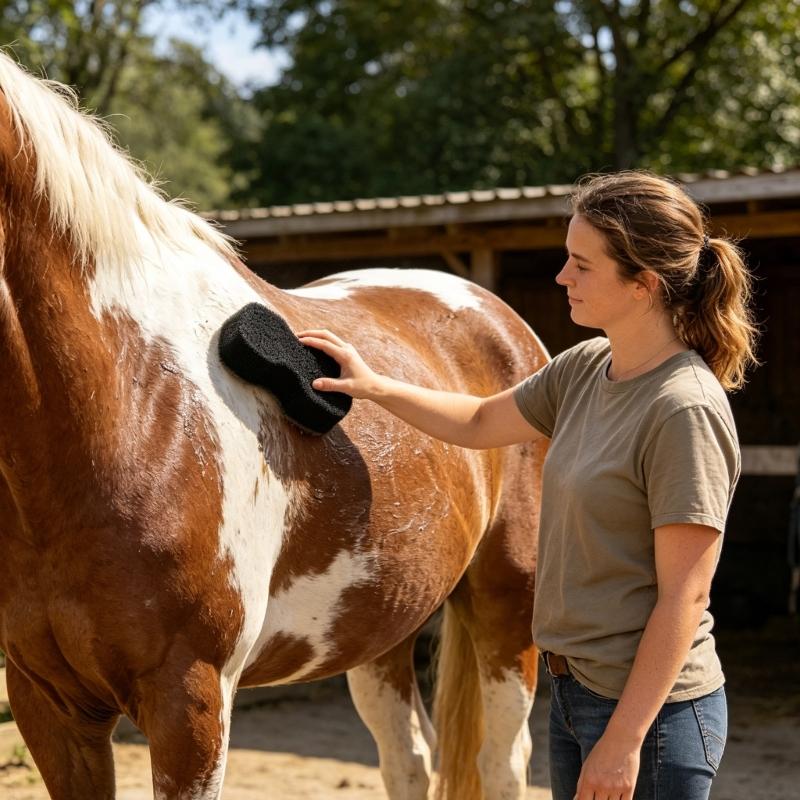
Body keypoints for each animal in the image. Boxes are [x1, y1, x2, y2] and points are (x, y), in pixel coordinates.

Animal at [0, 51, 548, 800]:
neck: (125, 399)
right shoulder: (47, 702)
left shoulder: (191, 701)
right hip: (378, 624)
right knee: (407, 760)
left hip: (507, 606)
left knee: (502, 762)